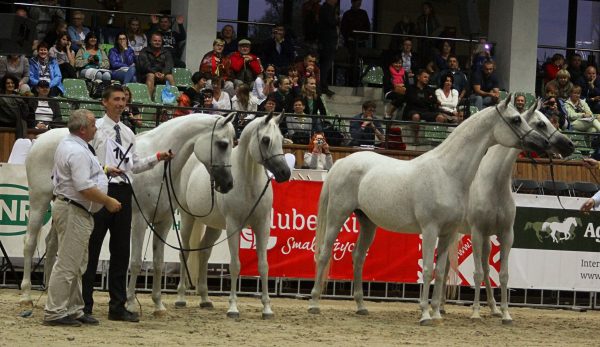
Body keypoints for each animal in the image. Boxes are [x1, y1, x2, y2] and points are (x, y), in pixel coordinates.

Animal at [18, 113, 236, 306]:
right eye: (222, 144)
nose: (228, 184)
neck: (158, 172)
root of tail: (40, 139)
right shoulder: (140, 220)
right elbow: (136, 261)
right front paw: (130, 302)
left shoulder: (163, 222)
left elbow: (158, 262)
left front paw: (158, 304)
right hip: (39, 201)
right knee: (29, 242)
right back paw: (26, 294)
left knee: (52, 245)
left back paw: (50, 294)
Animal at [168, 113, 292, 320]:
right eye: (266, 140)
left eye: (281, 139)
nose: (285, 173)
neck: (248, 183)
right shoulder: (234, 226)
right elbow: (235, 265)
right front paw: (233, 307)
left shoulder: (262, 225)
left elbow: (263, 265)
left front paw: (267, 308)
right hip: (188, 218)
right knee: (184, 251)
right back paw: (180, 297)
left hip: (215, 227)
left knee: (204, 252)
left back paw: (205, 299)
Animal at [308, 97, 552, 326]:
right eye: (516, 119)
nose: (543, 142)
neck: (447, 172)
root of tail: (341, 164)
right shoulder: (430, 229)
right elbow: (427, 269)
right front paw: (425, 314)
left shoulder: (447, 232)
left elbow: (440, 271)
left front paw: (436, 313)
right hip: (337, 216)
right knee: (324, 253)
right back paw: (314, 303)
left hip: (367, 222)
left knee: (358, 258)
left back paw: (361, 306)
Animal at [438, 104, 576, 324]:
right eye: (540, 123)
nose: (569, 145)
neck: (493, 183)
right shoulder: (476, 233)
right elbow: (477, 273)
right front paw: (475, 312)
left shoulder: (506, 234)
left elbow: (502, 275)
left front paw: (505, 313)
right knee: (445, 267)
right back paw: (441, 306)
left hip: (482, 238)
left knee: (481, 268)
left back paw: (490, 308)